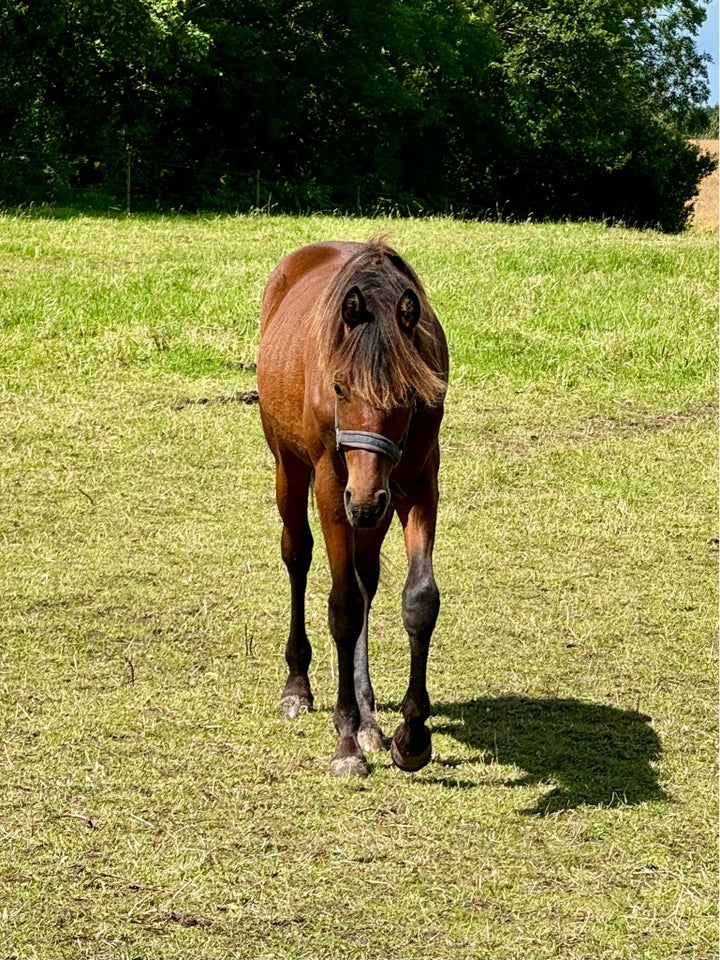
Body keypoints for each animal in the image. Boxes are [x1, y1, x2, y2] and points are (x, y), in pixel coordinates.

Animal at [258, 236, 448, 776]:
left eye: (406, 394)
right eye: (339, 387)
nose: (363, 499)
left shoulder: (417, 483)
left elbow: (418, 601)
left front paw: (411, 736)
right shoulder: (331, 486)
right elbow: (342, 609)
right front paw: (345, 741)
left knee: (366, 582)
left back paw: (369, 719)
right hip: (290, 468)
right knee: (297, 556)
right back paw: (299, 687)